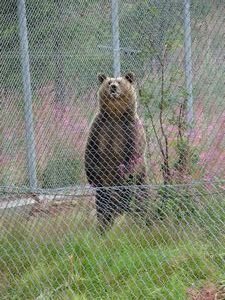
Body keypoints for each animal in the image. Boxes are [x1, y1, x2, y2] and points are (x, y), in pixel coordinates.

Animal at [85, 73, 147, 232]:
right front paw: (91, 177)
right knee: (103, 208)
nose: (113, 87)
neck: (115, 114)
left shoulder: (130, 128)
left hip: (139, 182)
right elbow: (90, 151)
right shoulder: (100, 126)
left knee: (139, 201)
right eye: (109, 82)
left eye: (119, 82)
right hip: (103, 193)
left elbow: (133, 153)